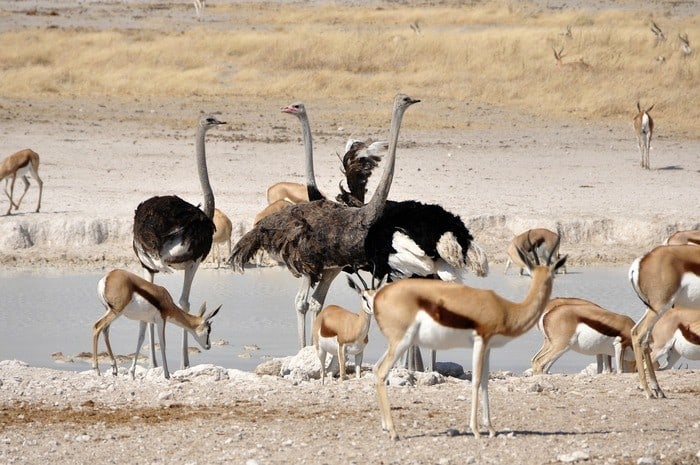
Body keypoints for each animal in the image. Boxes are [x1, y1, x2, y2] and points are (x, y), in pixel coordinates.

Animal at [374, 239, 568, 438]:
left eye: (550, 272)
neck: (507, 309)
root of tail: (378, 297)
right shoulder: (480, 342)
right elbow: (475, 381)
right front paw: (475, 430)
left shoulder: (488, 348)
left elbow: (485, 382)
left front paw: (491, 429)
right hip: (401, 342)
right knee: (381, 372)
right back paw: (393, 432)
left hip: (395, 344)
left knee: (375, 369)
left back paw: (385, 427)